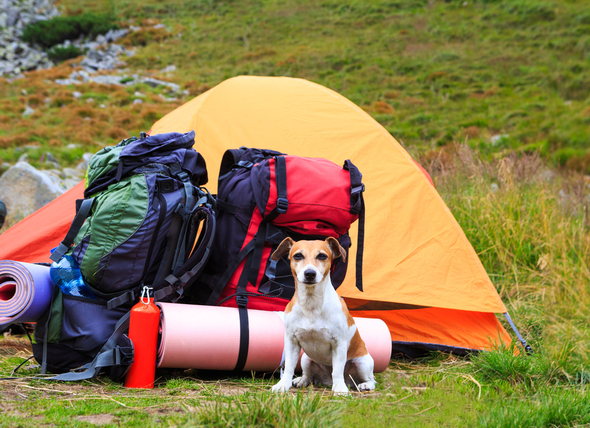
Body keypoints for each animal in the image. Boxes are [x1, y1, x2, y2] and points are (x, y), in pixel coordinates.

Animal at [272, 237, 376, 394]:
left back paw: (365, 385)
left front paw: (340, 388)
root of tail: (326, 380)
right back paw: (301, 380)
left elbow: (338, 370)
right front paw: (283, 384)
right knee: (308, 375)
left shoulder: (339, 343)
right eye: (298, 256)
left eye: (322, 256)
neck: (311, 302)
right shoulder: (292, 341)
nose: (310, 273)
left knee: (371, 380)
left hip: (362, 363)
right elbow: (289, 366)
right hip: (306, 360)